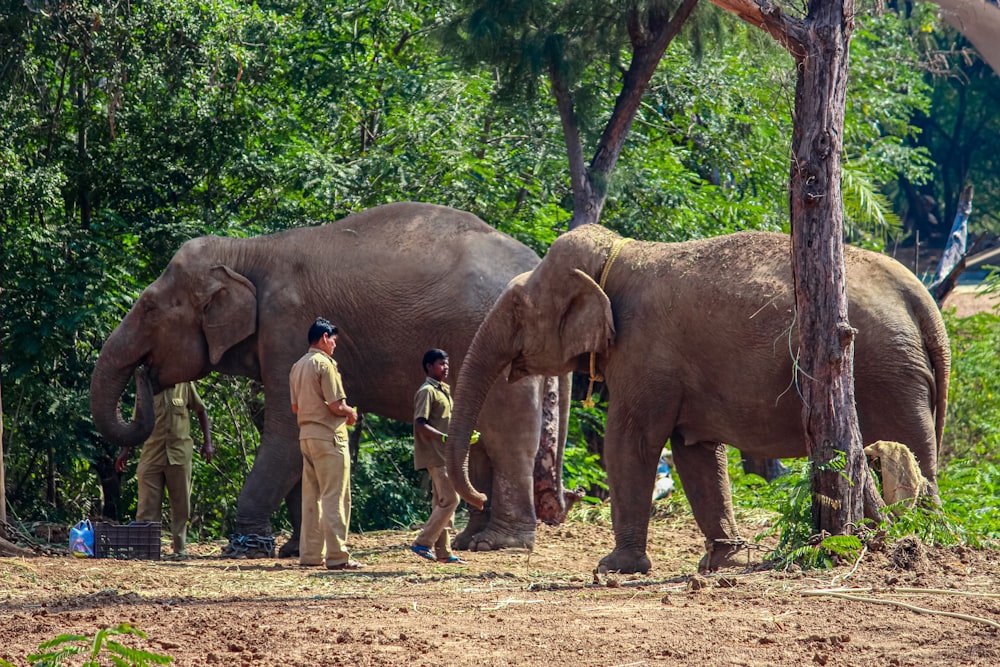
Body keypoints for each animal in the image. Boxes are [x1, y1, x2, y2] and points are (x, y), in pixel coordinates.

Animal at [92, 204, 572, 560]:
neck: (247, 252)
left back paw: (501, 544)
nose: (145, 373)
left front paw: (246, 548)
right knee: (478, 438)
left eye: (149, 308)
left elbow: (285, 434)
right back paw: (471, 541)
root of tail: (536, 264)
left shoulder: (286, 324)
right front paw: (291, 548)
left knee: (507, 434)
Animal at [448, 224, 952, 576]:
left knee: (911, 450)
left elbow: (632, 442)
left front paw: (614, 567)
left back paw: (924, 542)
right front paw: (722, 564)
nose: (476, 497)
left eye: (517, 308)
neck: (622, 252)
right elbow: (694, 451)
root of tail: (921, 298)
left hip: (888, 375)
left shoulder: (644, 352)